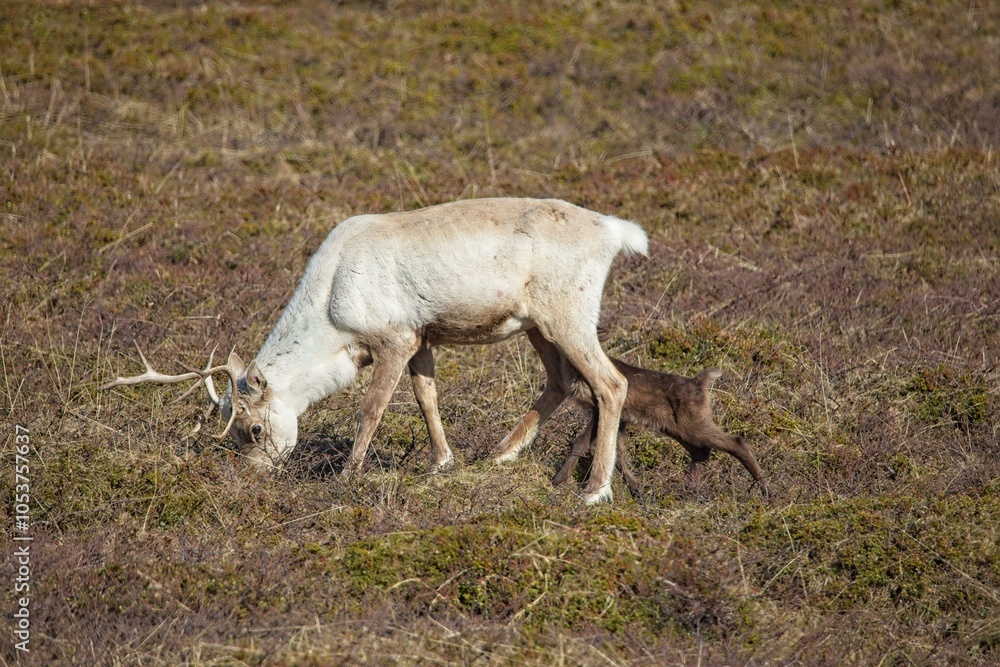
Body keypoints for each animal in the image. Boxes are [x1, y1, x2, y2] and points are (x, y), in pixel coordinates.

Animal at [102, 198, 648, 504]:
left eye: (252, 429)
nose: (256, 477)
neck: (332, 311)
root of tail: (616, 231)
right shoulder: (423, 336)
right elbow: (427, 398)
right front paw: (442, 462)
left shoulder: (394, 337)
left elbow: (373, 408)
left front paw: (347, 475)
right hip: (536, 323)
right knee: (560, 381)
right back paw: (499, 455)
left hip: (567, 313)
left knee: (611, 383)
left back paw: (594, 491)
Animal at [549, 355, 767, 498]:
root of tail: (699, 382)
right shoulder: (620, 418)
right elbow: (618, 452)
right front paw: (635, 488)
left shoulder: (600, 407)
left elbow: (582, 442)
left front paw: (559, 480)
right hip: (676, 428)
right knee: (701, 453)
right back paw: (687, 490)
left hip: (691, 426)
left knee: (736, 442)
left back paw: (765, 489)